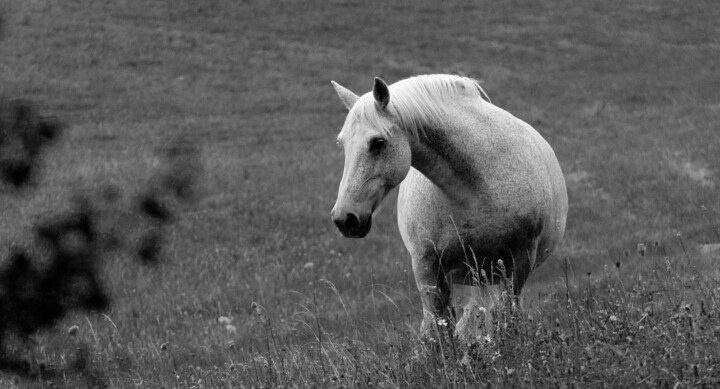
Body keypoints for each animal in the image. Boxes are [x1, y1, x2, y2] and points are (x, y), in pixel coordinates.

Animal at [330, 74, 568, 338]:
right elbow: (439, 329)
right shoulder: (427, 266)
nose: (345, 218)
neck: (474, 187)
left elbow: (506, 322)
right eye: (342, 143)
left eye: (378, 142)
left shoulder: (519, 263)